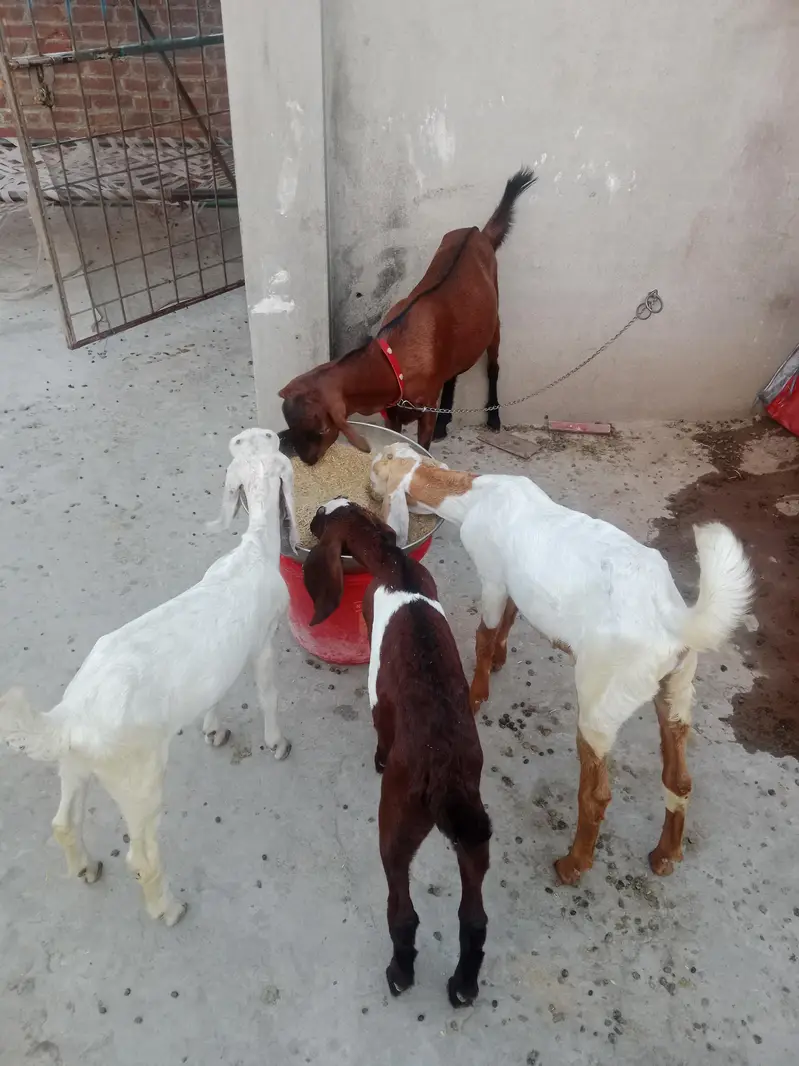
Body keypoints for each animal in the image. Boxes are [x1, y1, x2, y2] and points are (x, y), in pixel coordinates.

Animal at [0, 429, 297, 925]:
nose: (266, 431)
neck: (253, 551)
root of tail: (72, 717)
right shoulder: (262, 643)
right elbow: (269, 694)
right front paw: (277, 743)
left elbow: (214, 693)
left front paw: (213, 729)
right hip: (138, 783)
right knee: (141, 857)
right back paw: (168, 908)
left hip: (75, 765)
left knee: (64, 823)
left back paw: (85, 868)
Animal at [278, 168, 536, 464]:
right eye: (291, 426)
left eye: (321, 428)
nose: (308, 461)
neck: (394, 361)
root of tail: (477, 232)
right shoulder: (392, 414)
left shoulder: (425, 410)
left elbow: (423, 443)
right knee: (452, 375)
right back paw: (445, 423)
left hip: (494, 325)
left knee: (493, 367)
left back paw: (493, 417)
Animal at [303, 500, 491, 1007]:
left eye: (323, 518)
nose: (311, 518)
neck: (394, 564)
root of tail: (442, 770)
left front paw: (377, 756)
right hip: (474, 836)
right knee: (474, 919)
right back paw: (463, 985)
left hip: (395, 826)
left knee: (403, 914)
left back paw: (400, 972)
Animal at [370, 442, 754, 886]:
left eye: (377, 469)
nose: (368, 483)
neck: (474, 496)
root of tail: (672, 616)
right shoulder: (516, 585)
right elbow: (510, 619)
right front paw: (500, 658)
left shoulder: (493, 579)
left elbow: (485, 634)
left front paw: (477, 692)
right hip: (676, 688)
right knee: (679, 778)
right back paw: (665, 855)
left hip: (601, 702)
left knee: (596, 794)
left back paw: (573, 865)